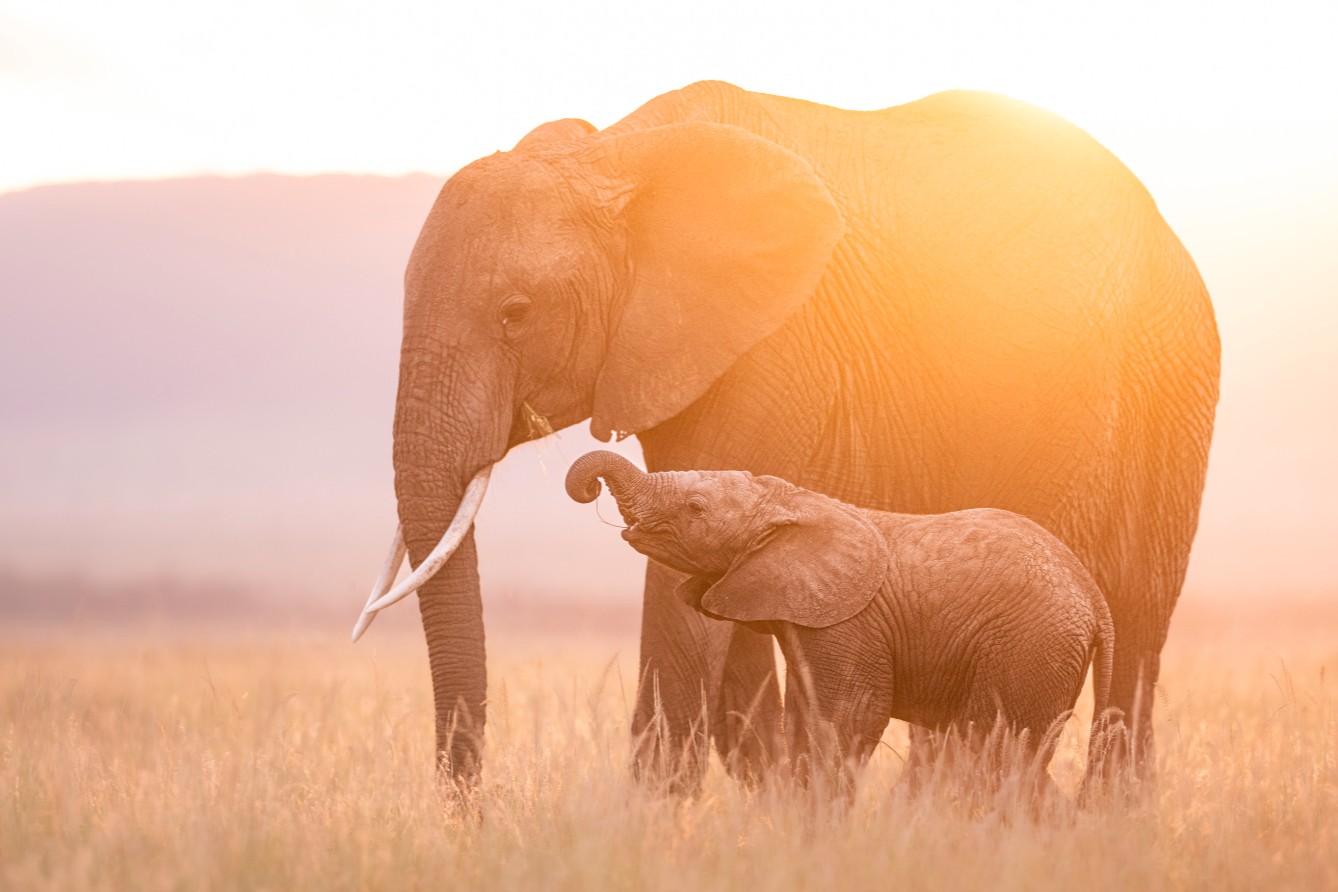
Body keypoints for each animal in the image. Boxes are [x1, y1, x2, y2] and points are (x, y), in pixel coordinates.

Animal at [565, 450, 1118, 805]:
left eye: (695, 509)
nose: (587, 489)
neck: (789, 501)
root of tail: (1096, 600)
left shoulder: (849, 623)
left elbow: (850, 719)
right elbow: (804, 723)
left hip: (1031, 647)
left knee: (993, 753)